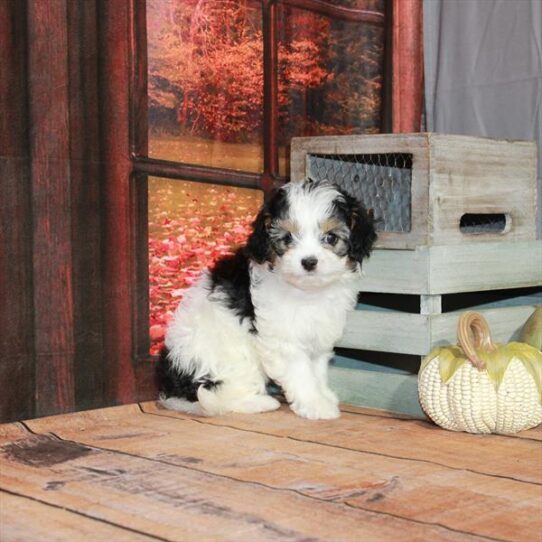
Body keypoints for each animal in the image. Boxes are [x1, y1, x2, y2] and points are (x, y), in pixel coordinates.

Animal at [157, 178, 378, 420]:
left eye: (331, 237)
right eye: (287, 238)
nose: (309, 262)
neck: (307, 291)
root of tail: (172, 388)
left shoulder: (318, 333)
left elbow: (317, 368)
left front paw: (323, 395)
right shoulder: (282, 337)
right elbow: (300, 372)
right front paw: (315, 404)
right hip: (230, 357)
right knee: (224, 396)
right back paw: (261, 402)